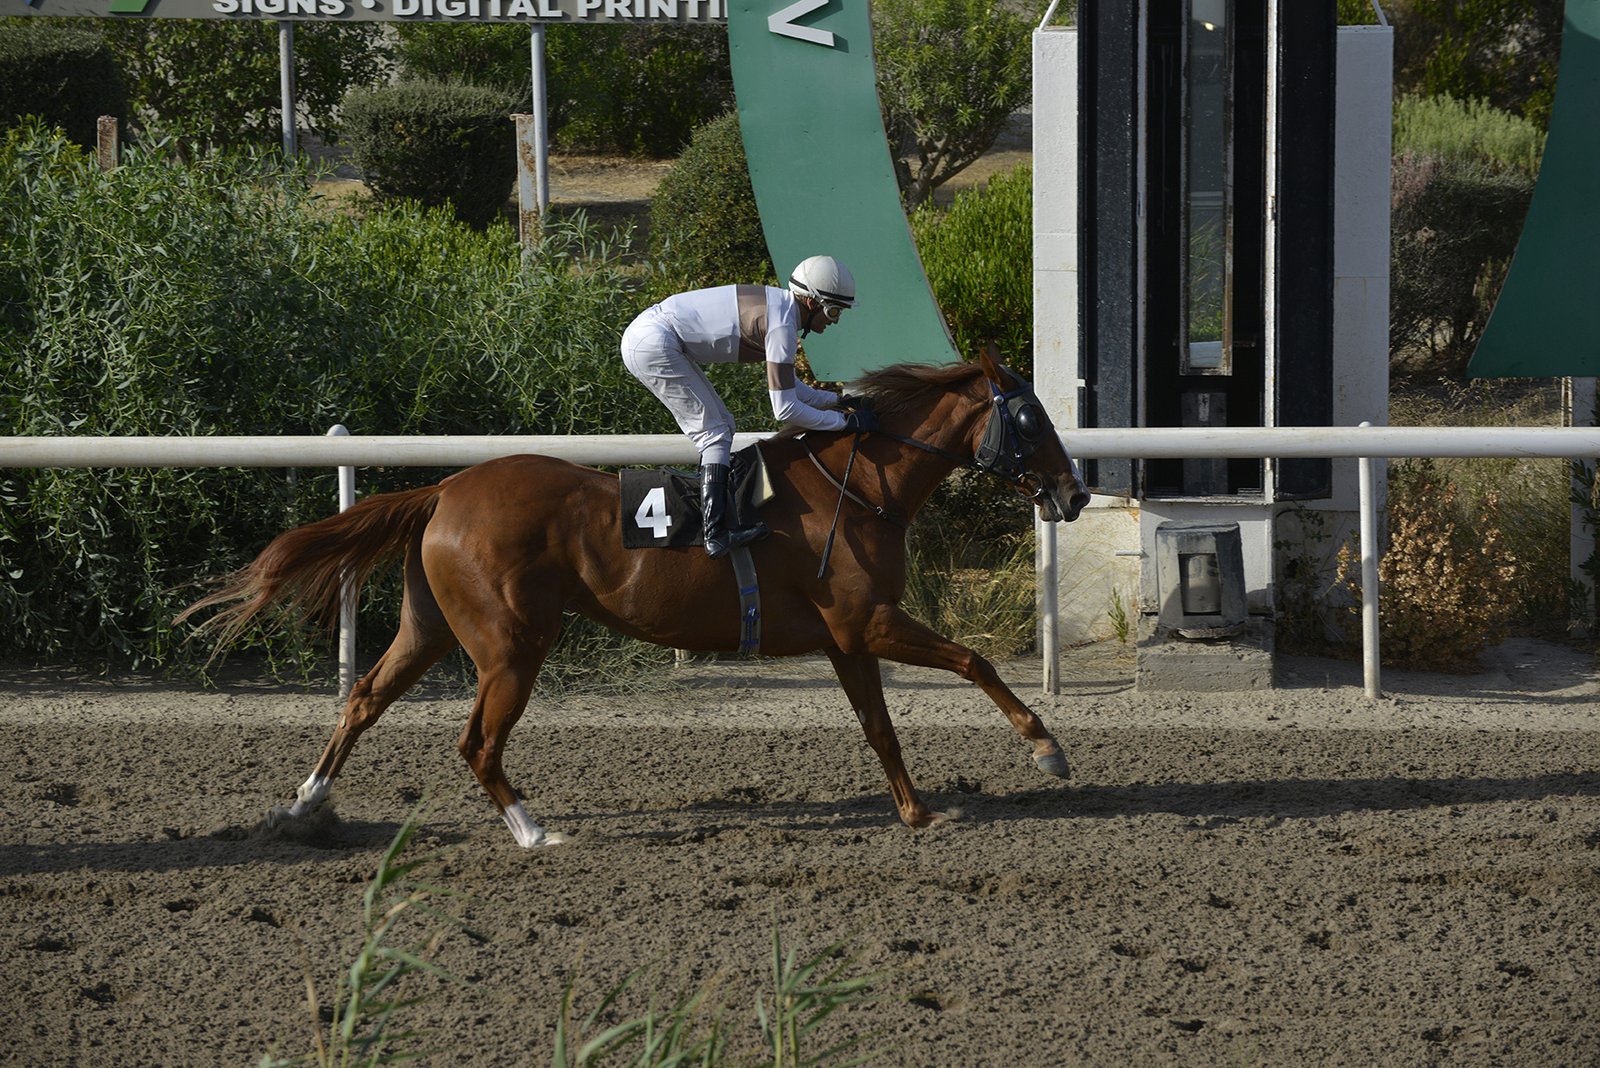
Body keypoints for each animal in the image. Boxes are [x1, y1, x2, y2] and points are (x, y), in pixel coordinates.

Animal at [179, 351, 1091, 847]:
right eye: (1030, 417)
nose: (1074, 493)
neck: (858, 485)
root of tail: (442, 490)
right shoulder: (868, 620)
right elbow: (973, 660)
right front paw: (1046, 747)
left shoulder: (847, 637)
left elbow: (880, 727)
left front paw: (915, 811)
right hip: (512, 644)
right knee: (476, 743)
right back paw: (535, 832)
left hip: (431, 626)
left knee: (365, 697)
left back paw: (302, 804)